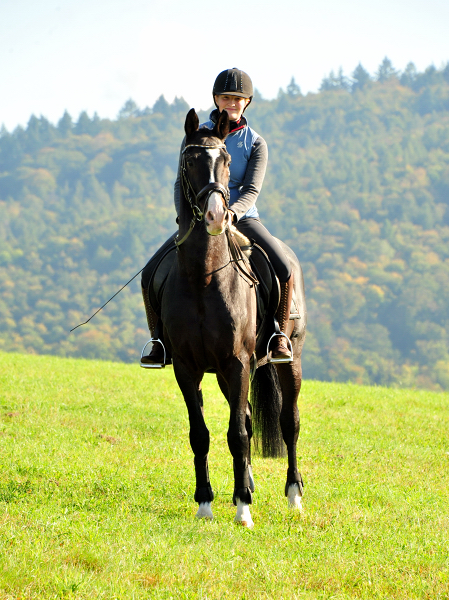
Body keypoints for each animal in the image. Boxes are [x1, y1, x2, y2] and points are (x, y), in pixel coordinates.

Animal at [159, 108, 306, 524]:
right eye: (190, 160)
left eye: (225, 160)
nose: (215, 216)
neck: (204, 277)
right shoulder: (187, 367)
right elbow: (202, 434)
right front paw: (205, 503)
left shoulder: (237, 362)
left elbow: (237, 434)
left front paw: (243, 509)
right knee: (249, 418)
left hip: (288, 360)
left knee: (288, 423)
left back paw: (294, 495)